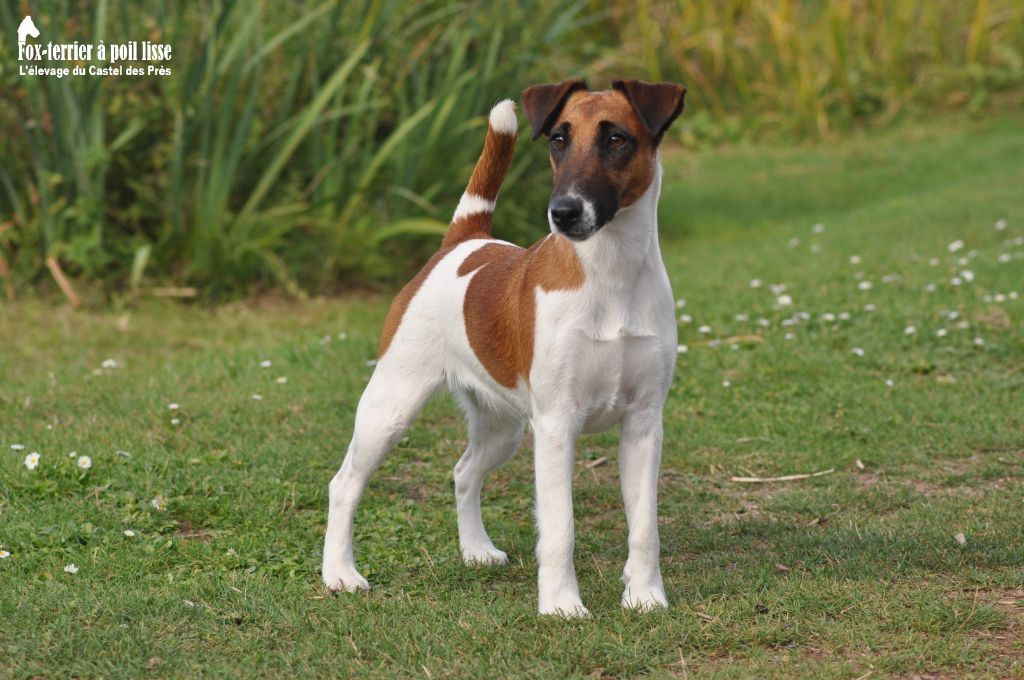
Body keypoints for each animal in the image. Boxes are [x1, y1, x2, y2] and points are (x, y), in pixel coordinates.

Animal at [319, 78, 688, 614]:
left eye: (616, 139)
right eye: (558, 139)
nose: (563, 212)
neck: (611, 275)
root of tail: (460, 243)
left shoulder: (643, 425)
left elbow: (644, 527)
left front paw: (644, 595)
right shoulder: (556, 425)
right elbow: (559, 526)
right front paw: (561, 605)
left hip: (502, 428)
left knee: (464, 472)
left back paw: (475, 549)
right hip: (389, 409)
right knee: (345, 484)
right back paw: (340, 573)